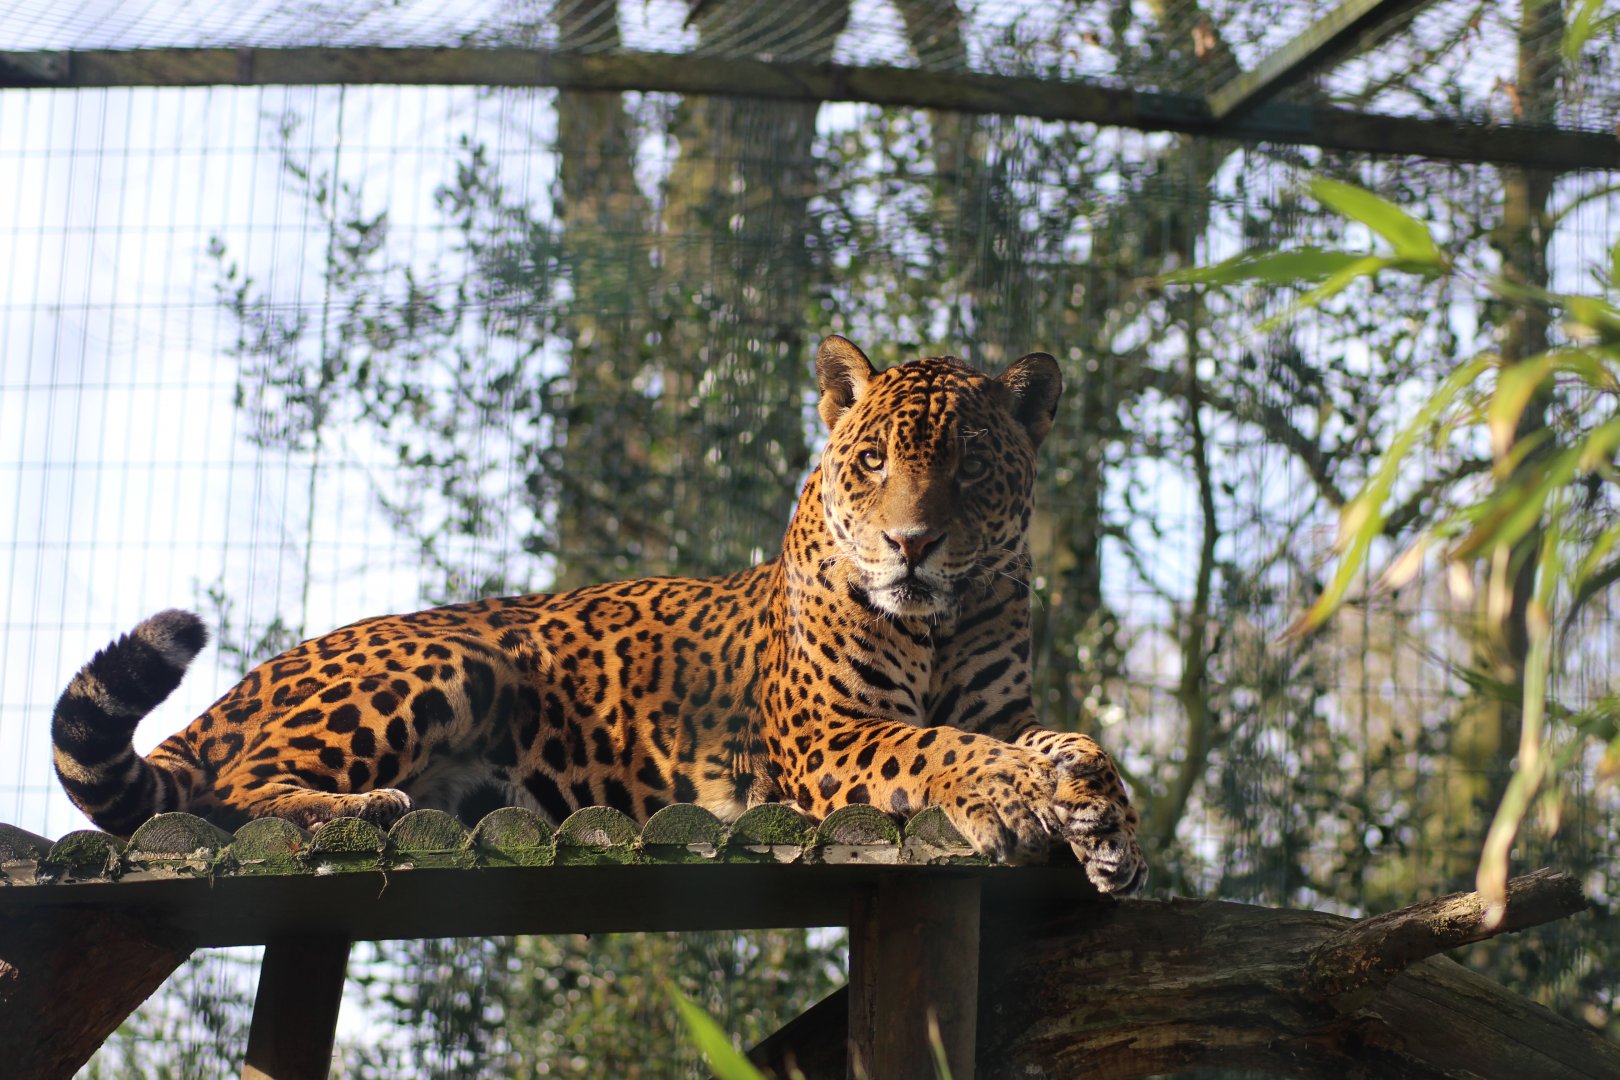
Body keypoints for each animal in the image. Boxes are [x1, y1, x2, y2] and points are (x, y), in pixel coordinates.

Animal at [52, 335, 1145, 894]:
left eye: (971, 467)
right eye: (873, 461)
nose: (911, 543)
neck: (943, 618)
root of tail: (250, 680)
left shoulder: (1002, 705)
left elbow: (1056, 740)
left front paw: (1104, 815)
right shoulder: (831, 732)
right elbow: (941, 749)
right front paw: (1018, 797)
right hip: (452, 660)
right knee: (231, 794)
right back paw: (357, 811)